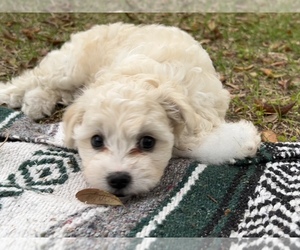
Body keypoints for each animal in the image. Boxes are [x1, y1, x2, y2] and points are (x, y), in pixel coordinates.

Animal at [0, 22, 260, 196]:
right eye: (97, 140)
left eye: (147, 142)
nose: (117, 179)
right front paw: (243, 139)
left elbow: (199, 142)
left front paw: (242, 141)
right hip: (70, 68)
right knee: (38, 76)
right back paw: (12, 93)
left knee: (55, 89)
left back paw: (36, 101)